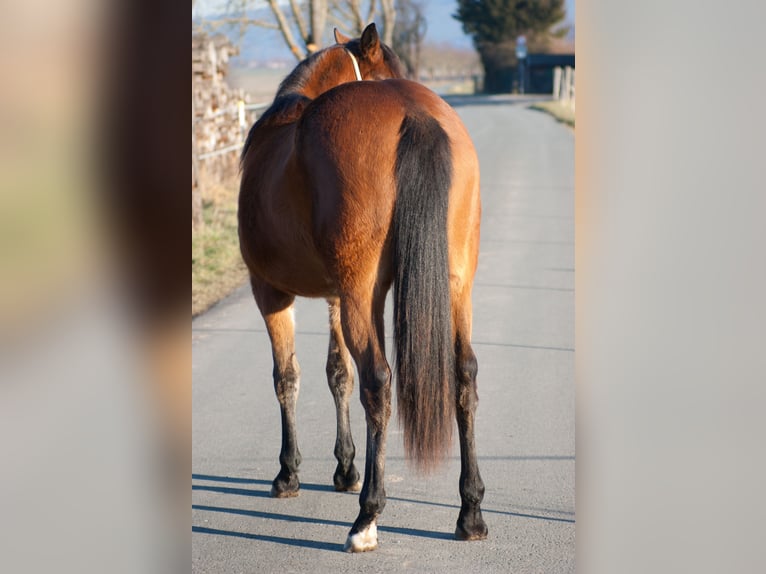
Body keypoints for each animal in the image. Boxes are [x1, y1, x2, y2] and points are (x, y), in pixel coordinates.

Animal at [240, 22, 488, 552]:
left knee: (378, 382)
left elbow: (287, 377)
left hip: (359, 295)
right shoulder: (334, 294)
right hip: (456, 286)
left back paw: (367, 518)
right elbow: (338, 374)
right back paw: (471, 512)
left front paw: (289, 474)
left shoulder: (270, 292)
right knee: (464, 376)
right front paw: (345, 467)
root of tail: (414, 112)